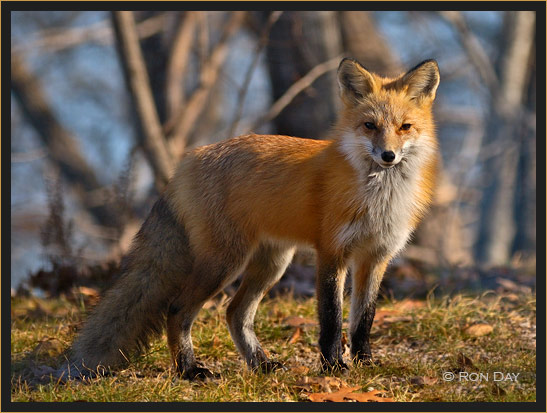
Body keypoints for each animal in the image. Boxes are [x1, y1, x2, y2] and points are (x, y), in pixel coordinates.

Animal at [62, 57, 444, 380]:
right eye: (369, 126)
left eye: (405, 127)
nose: (388, 155)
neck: (380, 198)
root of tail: (189, 160)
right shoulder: (331, 254)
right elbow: (332, 320)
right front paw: (333, 367)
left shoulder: (375, 257)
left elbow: (363, 319)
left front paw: (365, 363)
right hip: (225, 262)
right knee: (177, 309)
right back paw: (189, 370)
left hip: (271, 264)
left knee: (234, 313)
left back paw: (260, 364)